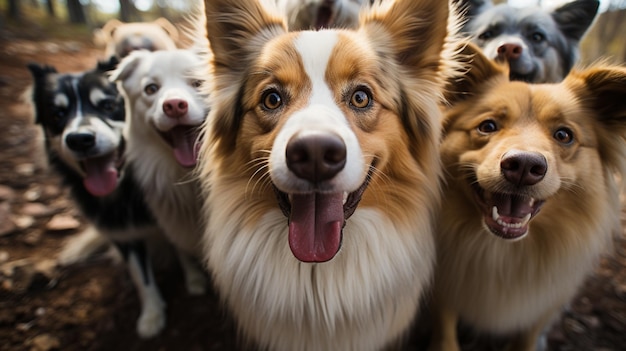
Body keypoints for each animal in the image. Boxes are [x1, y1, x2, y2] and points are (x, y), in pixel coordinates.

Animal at [28, 59, 167, 340]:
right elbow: (141, 276)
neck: (125, 191)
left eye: (108, 105)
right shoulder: (122, 231)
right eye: (57, 114)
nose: (80, 140)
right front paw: (152, 315)